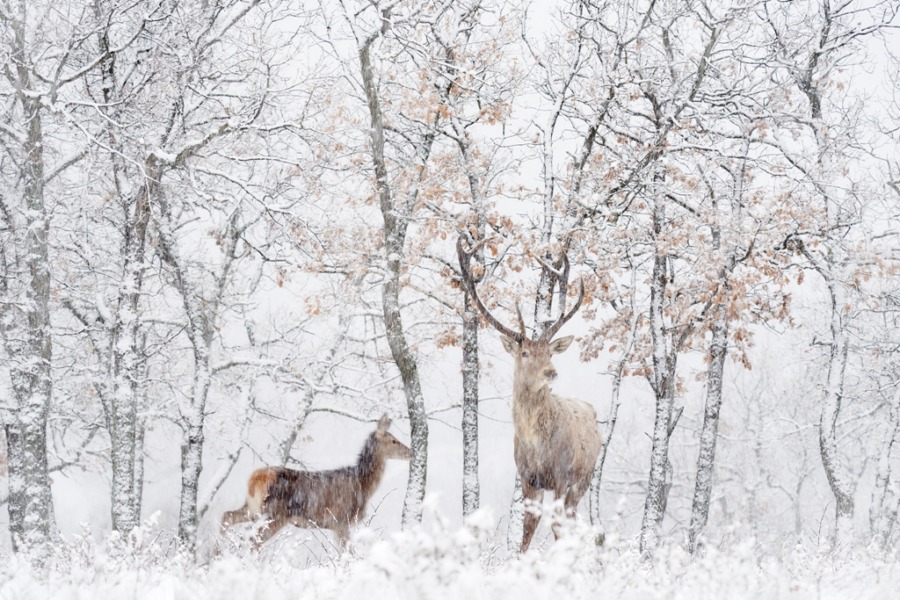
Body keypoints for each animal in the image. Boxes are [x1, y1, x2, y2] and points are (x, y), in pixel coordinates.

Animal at [221, 414, 412, 552]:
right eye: (394, 440)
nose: (410, 452)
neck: (363, 486)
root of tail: (255, 479)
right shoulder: (340, 519)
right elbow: (347, 553)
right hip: (275, 513)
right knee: (253, 540)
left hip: (253, 508)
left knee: (228, 516)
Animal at [460, 236, 600, 552]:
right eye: (525, 353)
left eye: (549, 352)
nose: (551, 372)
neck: (537, 445)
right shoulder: (527, 478)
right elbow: (526, 532)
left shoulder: (561, 474)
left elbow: (556, 528)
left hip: (584, 477)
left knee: (572, 520)